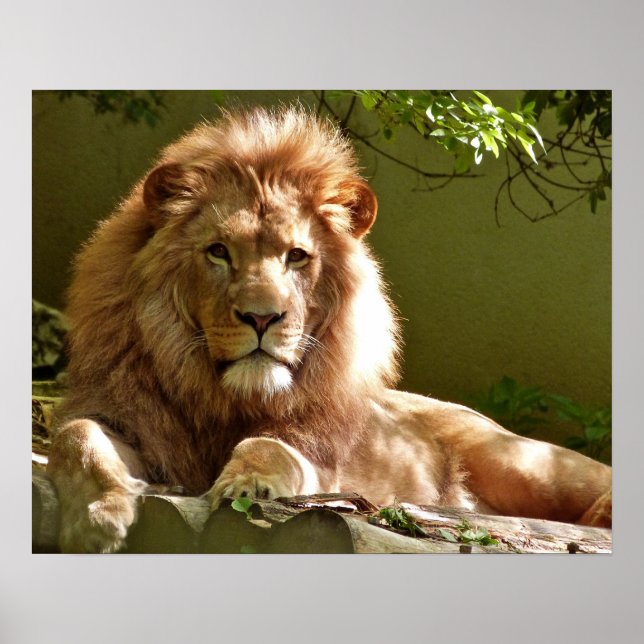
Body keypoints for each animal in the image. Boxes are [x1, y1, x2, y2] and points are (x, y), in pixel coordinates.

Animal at [46, 106, 612, 553]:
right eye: (219, 252)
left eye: (297, 256)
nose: (262, 318)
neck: (223, 397)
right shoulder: (128, 418)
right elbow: (77, 436)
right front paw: (99, 516)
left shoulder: (322, 467)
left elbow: (269, 447)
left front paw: (248, 485)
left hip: (526, 463)